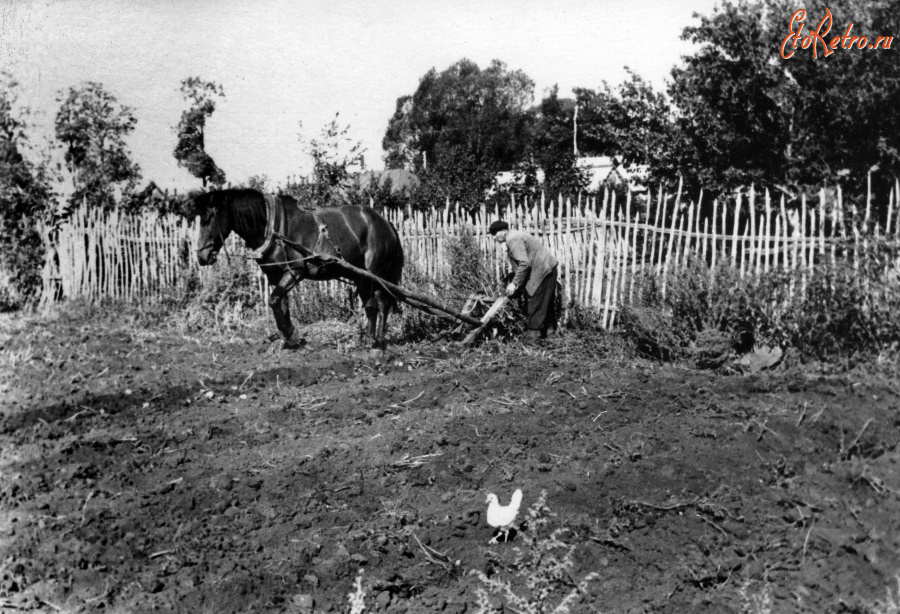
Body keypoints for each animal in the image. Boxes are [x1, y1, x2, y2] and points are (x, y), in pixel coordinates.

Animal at [197, 190, 408, 348]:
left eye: (210, 217)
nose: (201, 256)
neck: (274, 228)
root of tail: (386, 222)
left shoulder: (295, 272)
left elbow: (274, 300)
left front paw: (291, 333)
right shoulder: (275, 276)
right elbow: (281, 304)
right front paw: (290, 339)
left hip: (374, 273)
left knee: (381, 304)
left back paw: (378, 343)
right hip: (360, 276)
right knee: (372, 305)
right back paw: (370, 339)